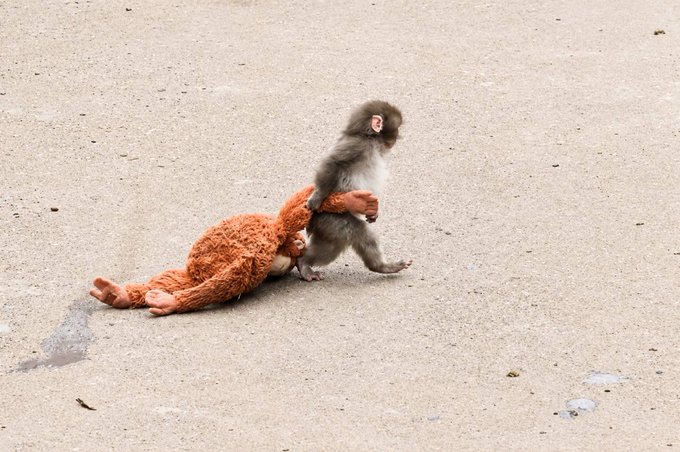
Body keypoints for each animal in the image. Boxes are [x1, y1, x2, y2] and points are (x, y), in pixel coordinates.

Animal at [297, 100, 412, 281]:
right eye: (397, 128)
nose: (397, 137)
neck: (368, 137)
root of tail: (313, 224)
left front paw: (373, 213)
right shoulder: (357, 146)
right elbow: (332, 162)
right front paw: (317, 197)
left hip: (328, 228)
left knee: (330, 247)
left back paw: (304, 262)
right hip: (332, 219)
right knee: (360, 233)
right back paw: (382, 266)